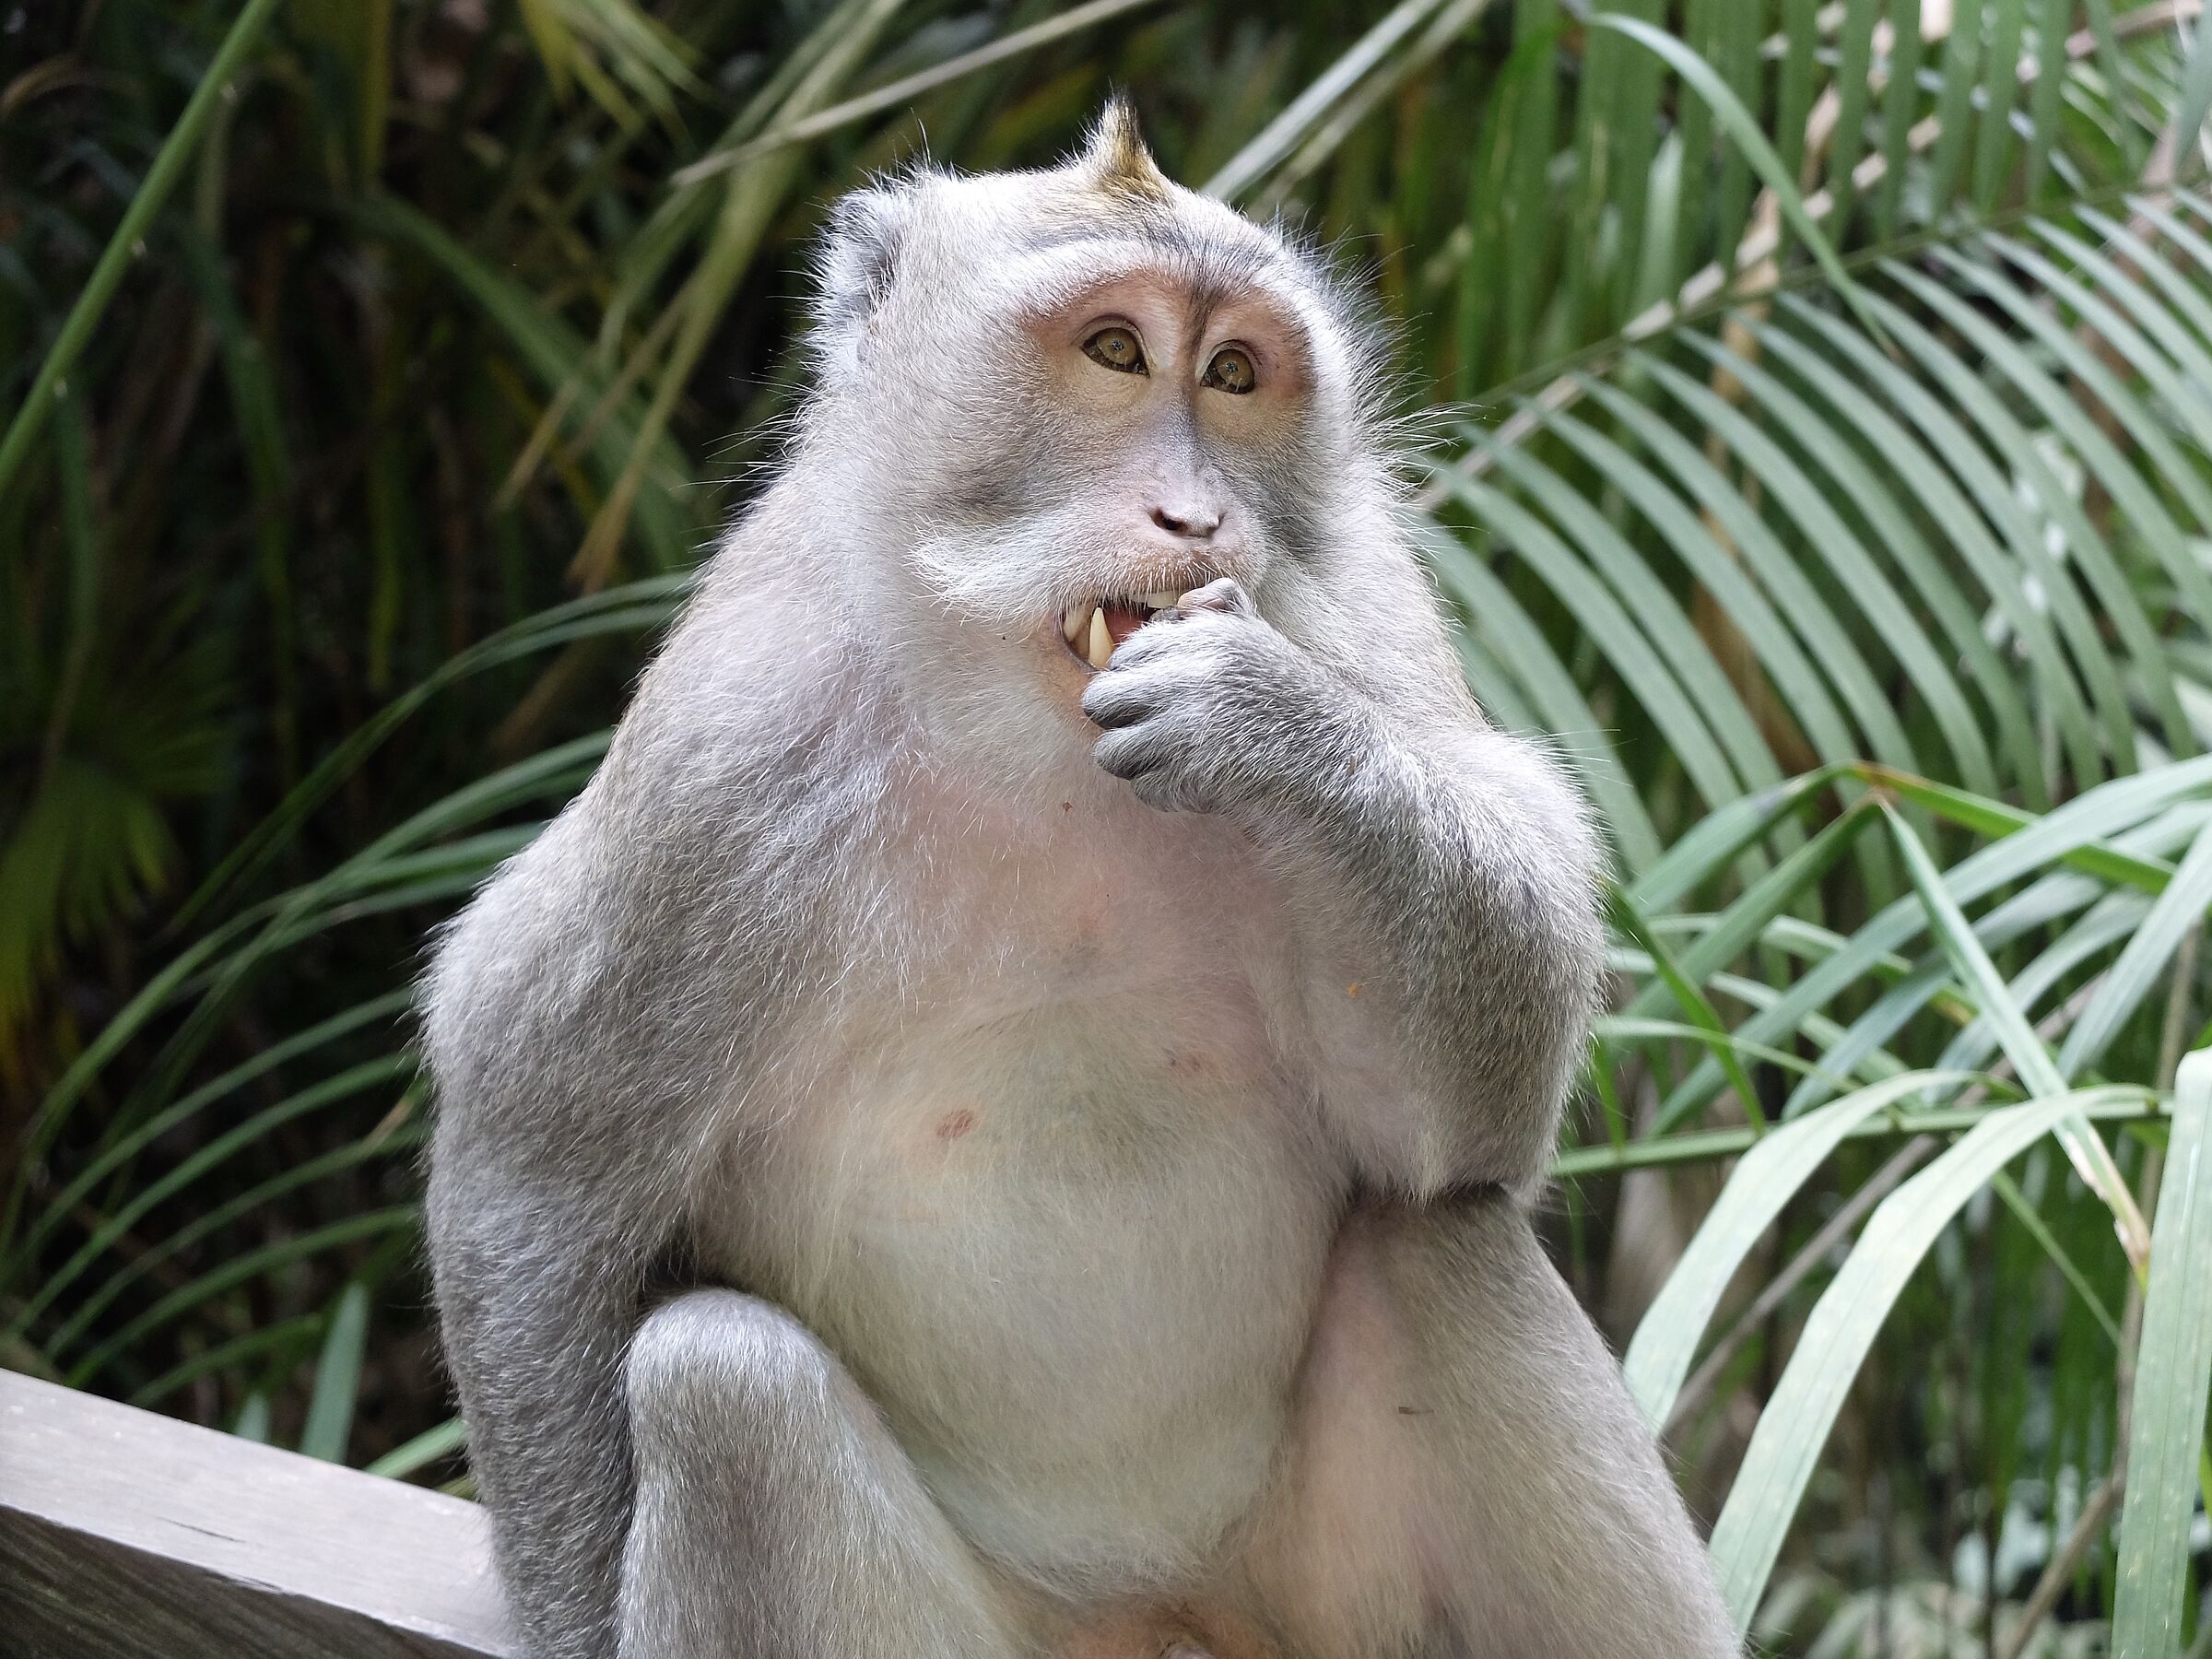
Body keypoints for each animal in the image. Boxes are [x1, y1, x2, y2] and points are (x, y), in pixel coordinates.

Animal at [422, 103, 1742, 1659]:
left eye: (1233, 373)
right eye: (1115, 350)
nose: (1196, 516)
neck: (1045, 750)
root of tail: (1155, 1612)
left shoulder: (1364, 606)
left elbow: (1470, 1115)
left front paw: (1270, 723)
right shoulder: (718, 763)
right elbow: (534, 1164)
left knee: (1438, 1242)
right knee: (724, 1384)